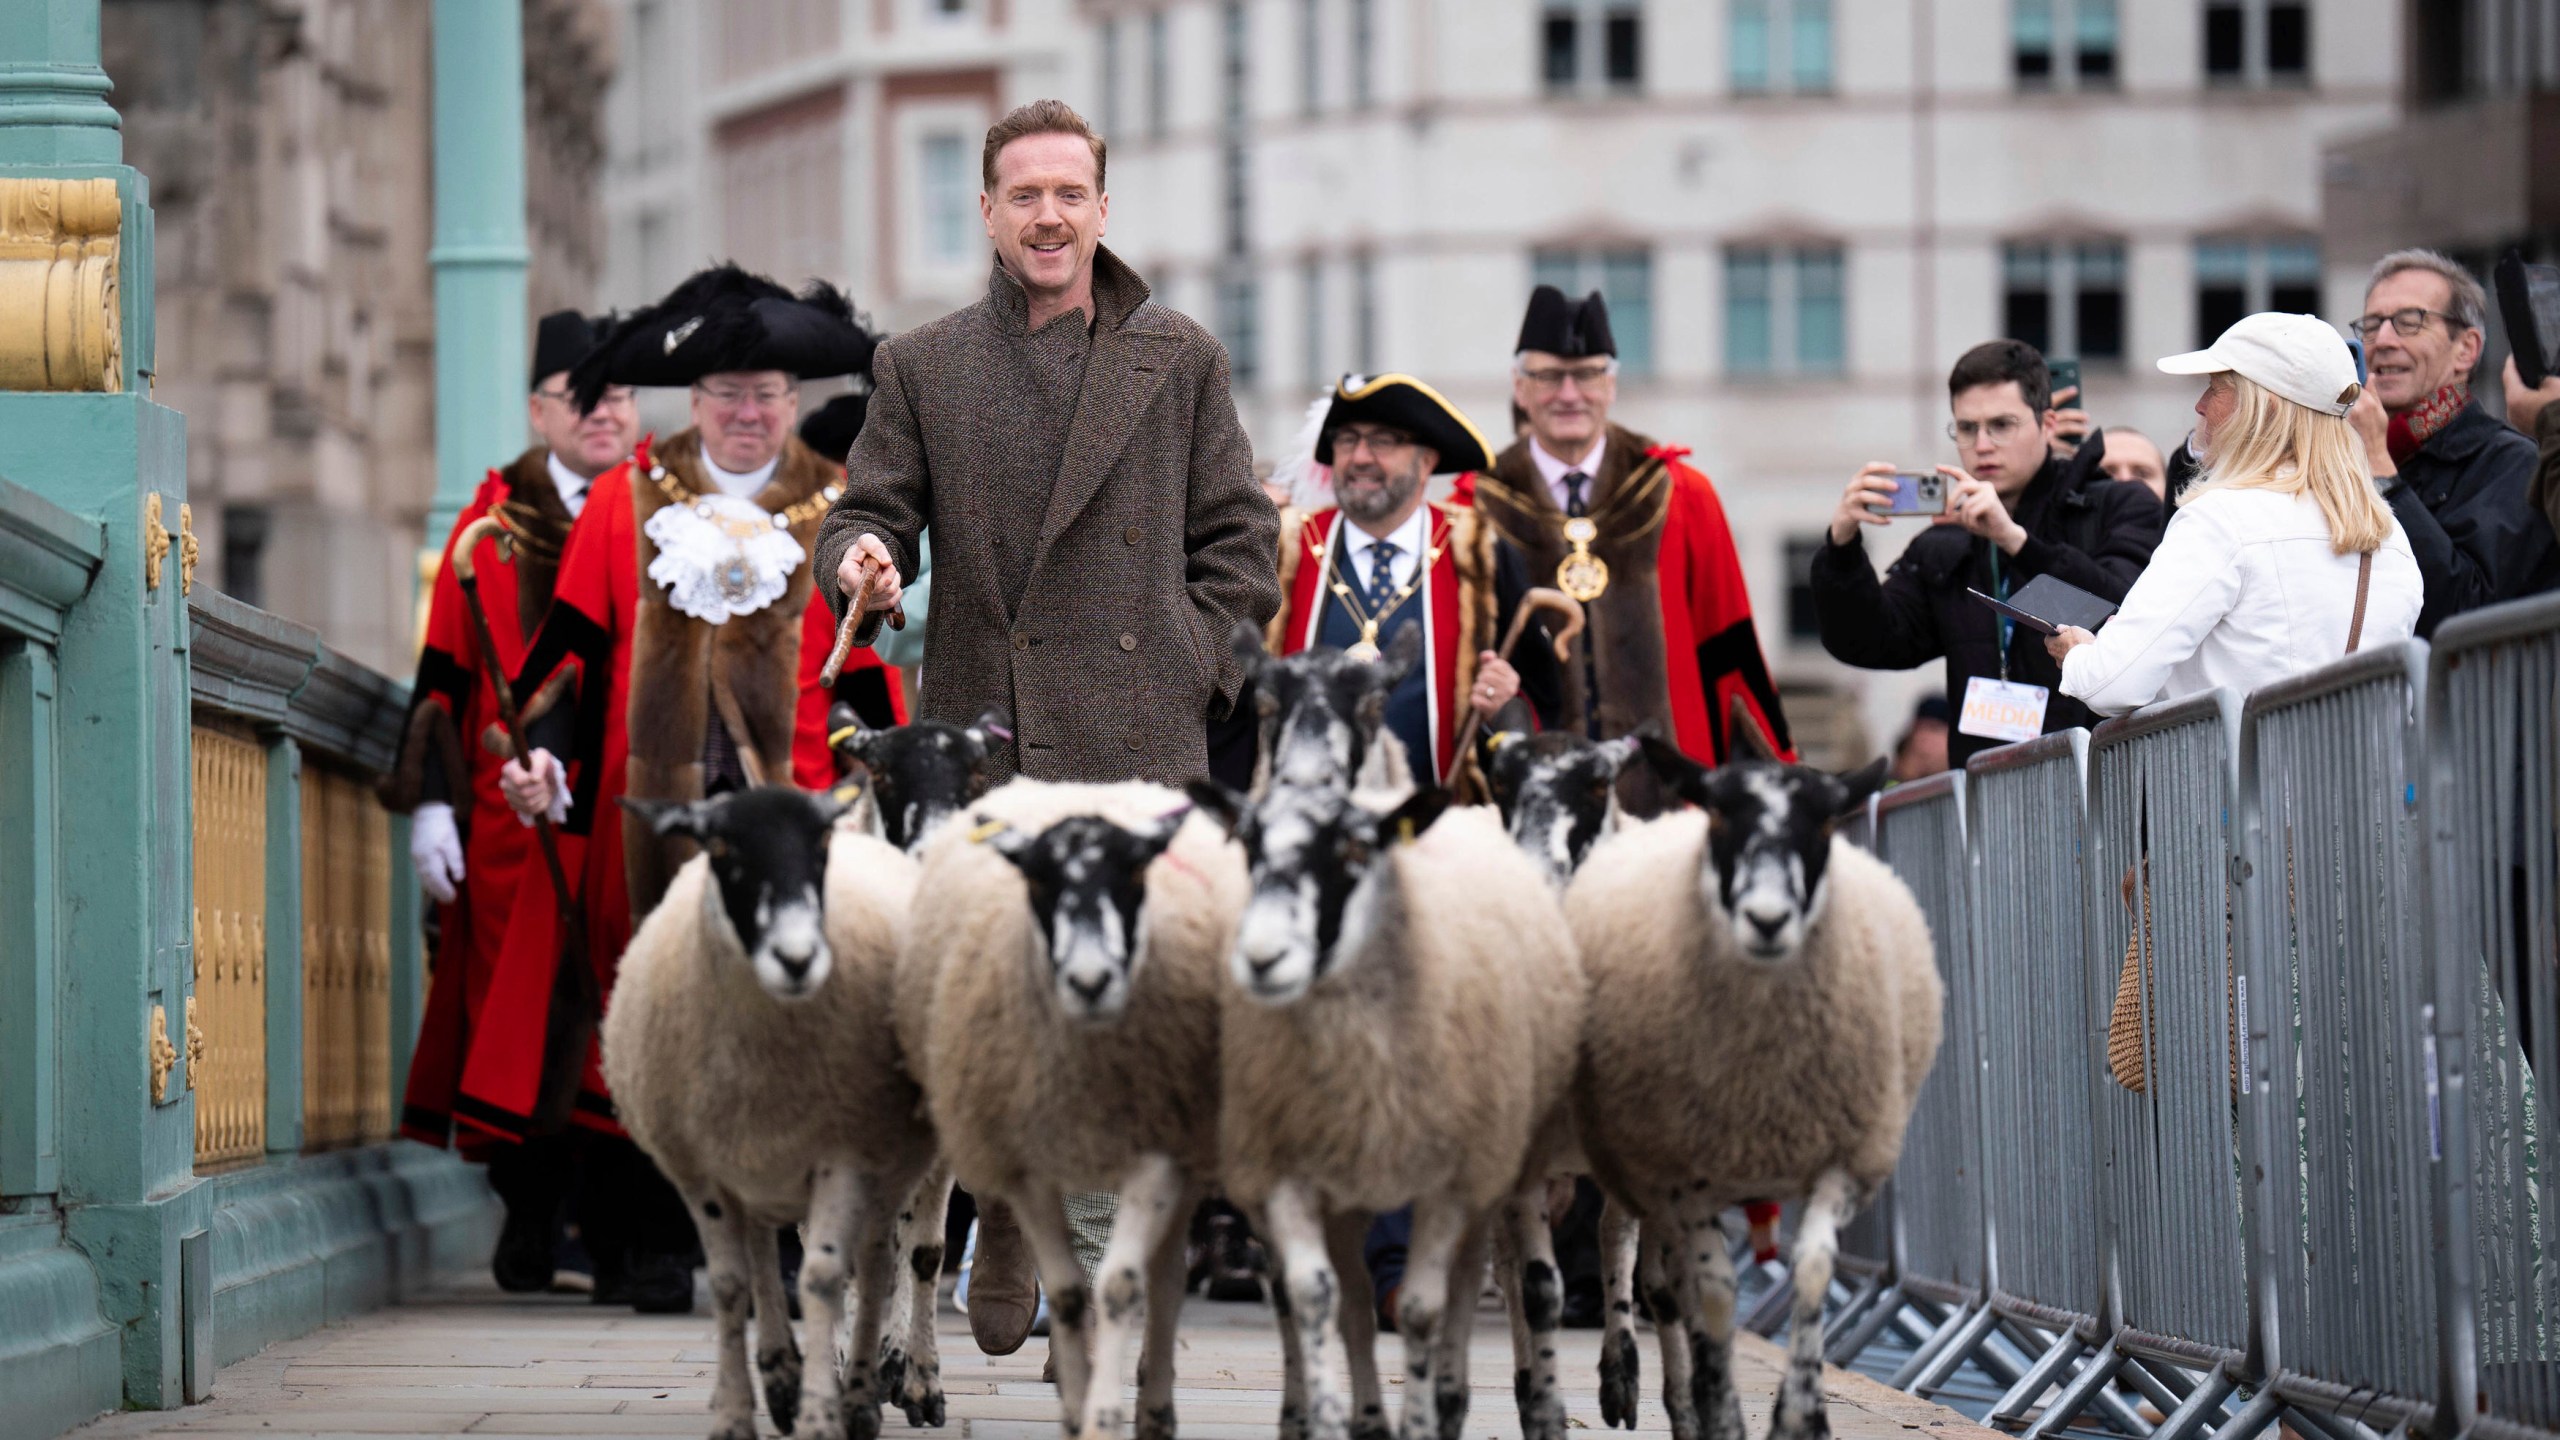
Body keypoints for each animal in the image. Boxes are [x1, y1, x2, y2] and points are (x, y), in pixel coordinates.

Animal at [604, 784, 947, 1434]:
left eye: (818, 845)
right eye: (719, 846)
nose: (796, 957)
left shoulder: (849, 1152)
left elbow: (852, 1270)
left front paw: (842, 1403)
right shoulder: (710, 1167)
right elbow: (735, 1281)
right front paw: (751, 1406)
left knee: (902, 1257)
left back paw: (900, 1380)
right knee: (783, 1252)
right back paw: (793, 1374)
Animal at [890, 778, 1249, 1434]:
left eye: (1134, 874)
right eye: (1037, 880)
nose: (1089, 979)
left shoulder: (1153, 1155)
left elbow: (1120, 1283)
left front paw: (1104, 1405)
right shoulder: (1024, 1160)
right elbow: (1063, 1291)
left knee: (1165, 1278)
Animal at [1187, 778, 1587, 1440]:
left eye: (1355, 851)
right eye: (1248, 845)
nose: (1263, 957)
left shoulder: (1454, 1181)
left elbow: (1431, 1307)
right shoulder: (1288, 1174)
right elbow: (1314, 1296)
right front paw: (1331, 1415)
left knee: (1465, 1283)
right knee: (1338, 1300)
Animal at [1556, 743, 1935, 1434]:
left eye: (1824, 826)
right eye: (1721, 819)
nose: (1767, 920)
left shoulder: (1842, 1159)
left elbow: (1811, 1269)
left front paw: (1802, 1414)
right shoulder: (1684, 1172)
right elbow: (1707, 1293)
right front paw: (1718, 1408)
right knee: (1623, 1244)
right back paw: (1629, 1376)